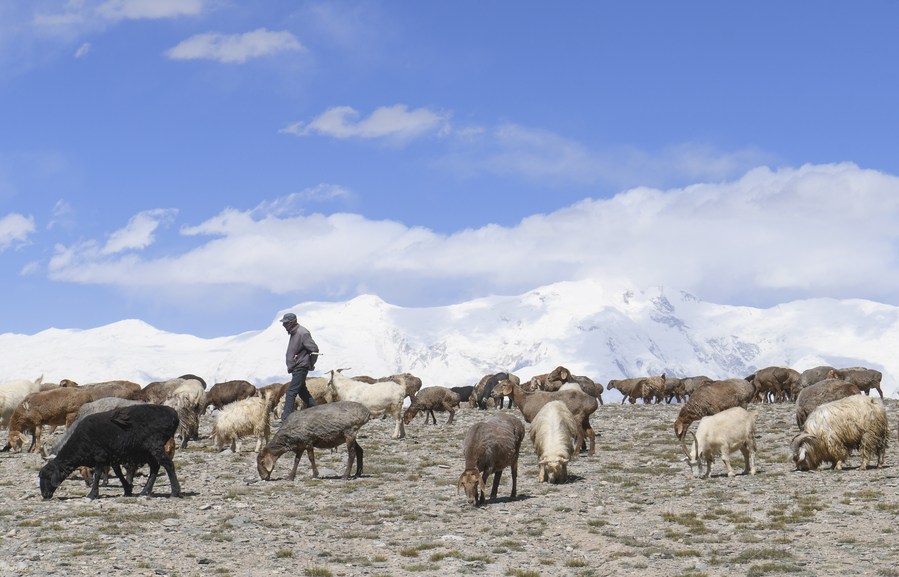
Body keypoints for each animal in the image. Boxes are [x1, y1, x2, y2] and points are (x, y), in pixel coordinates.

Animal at [38, 404, 181, 499]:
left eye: (48, 476)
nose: (45, 495)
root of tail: (174, 414)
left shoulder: (100, 456)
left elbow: (97, 474)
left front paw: (92, 494)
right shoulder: (112, 456)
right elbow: (118, 473)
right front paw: (127, 490)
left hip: (155, 444)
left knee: (168, 464)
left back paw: (175, 492)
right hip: (146, 450)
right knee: (155, 467)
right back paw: (145, 491)